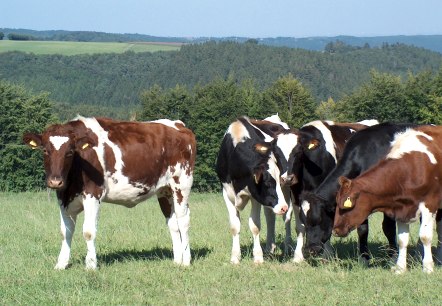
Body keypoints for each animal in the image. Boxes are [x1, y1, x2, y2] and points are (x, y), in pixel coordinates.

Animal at [24, 116, 196, 268]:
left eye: (70, 152)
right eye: (45, 150)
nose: (55, 181)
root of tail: (178, 125)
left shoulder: (93, 194)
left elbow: (88, 231)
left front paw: (91, 265)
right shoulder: (63, 197)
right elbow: (65, 231)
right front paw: (61, 264)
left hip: (182, 184)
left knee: (183, 220)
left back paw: (186, 261)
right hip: (164, 190)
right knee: (173, 223)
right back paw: (177, 260)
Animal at [300, 122, 418, 260]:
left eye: (318, 219)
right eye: (303, 221)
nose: (309, 251)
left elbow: (388, 228)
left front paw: (392, 257)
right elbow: (362, 229)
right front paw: (364, 258)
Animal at [334, 125, 442, 274]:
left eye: (345, 206)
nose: (335, 230)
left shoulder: (429, 204)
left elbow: (425, 236)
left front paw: (427, 267)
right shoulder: (401, 208)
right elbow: (402, 240)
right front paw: (400, 268)